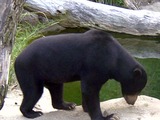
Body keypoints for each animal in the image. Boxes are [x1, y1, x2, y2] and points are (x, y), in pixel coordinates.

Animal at [15, 29, 148, 120]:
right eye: (137, 89)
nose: (132, 102)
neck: (114, 59)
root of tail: (17, 58)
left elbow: (86, 89)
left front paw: (86, 109)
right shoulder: (96, 62)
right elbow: (90, 89)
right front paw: (107, 116)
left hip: (51, 72)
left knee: (56, 88)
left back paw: (68, 105)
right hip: (30, 70)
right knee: (34, 91)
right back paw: (33, 112)